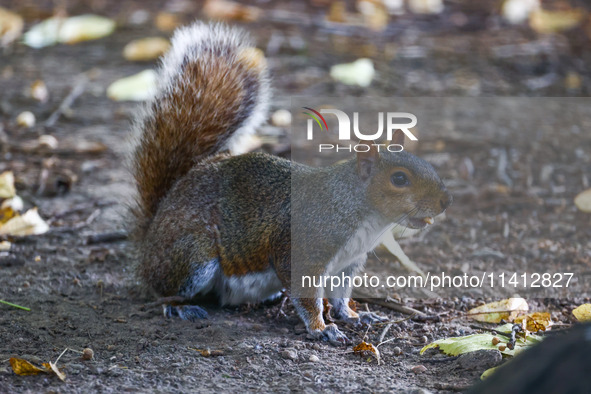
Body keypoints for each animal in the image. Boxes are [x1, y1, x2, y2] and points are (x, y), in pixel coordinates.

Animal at [131, 21, 454, 344]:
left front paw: (353, 315)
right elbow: (307, 294)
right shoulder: (302, 248)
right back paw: (179, 306)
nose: (445, 201)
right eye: (399, 178)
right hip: (193, 257)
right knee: (162, 290)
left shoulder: (348, 264)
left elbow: (339, 295)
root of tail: (152, 232)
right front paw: (321, 328)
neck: (363, 214)